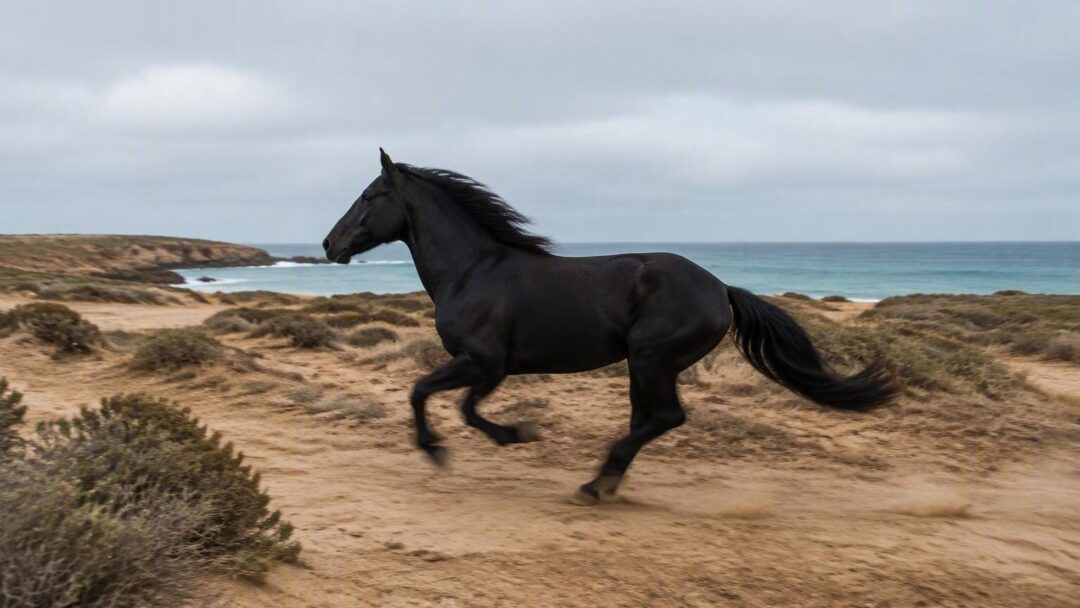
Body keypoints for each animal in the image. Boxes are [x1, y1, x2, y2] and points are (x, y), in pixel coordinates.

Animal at [324, 149, 898, 505]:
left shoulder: (484, 362)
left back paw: (595, 484)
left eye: (370, 195)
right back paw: (605, 481)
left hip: (650, 358)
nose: (330, 244)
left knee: (664, 417)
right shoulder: (491, 368)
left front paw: (468, 444)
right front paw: (505, 435)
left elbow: (433, 396)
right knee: (647, 419)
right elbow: (454, 403)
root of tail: (720, 289)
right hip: (642, 366)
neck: (474, 271)